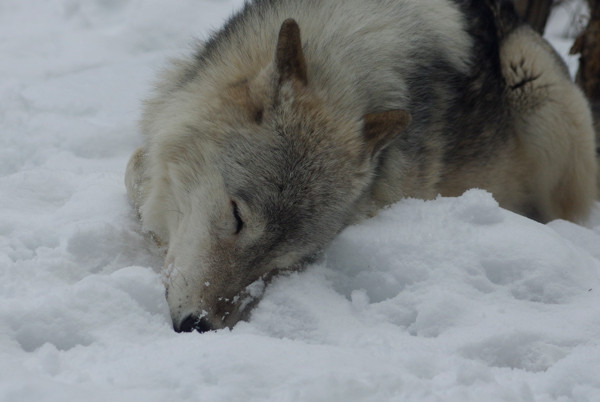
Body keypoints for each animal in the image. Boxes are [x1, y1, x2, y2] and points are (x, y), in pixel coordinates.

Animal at [124, 0, 596, 332]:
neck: (343, 69)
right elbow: (135, 173)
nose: (199, 325)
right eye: (237, 217)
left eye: (284, 263)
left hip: (538, 87)